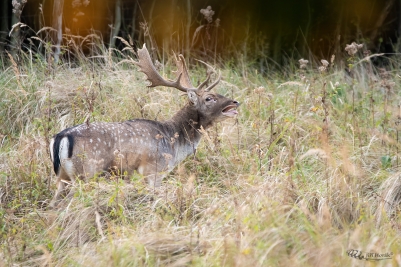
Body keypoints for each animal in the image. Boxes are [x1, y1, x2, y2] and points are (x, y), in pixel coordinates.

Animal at [48, 43, 239, 207]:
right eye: (209, 98)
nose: (235, 102)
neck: (174, 143)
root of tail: (61, 137)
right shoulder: (154, 170)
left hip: (62, 176)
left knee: (54, 202)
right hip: (85, 172)